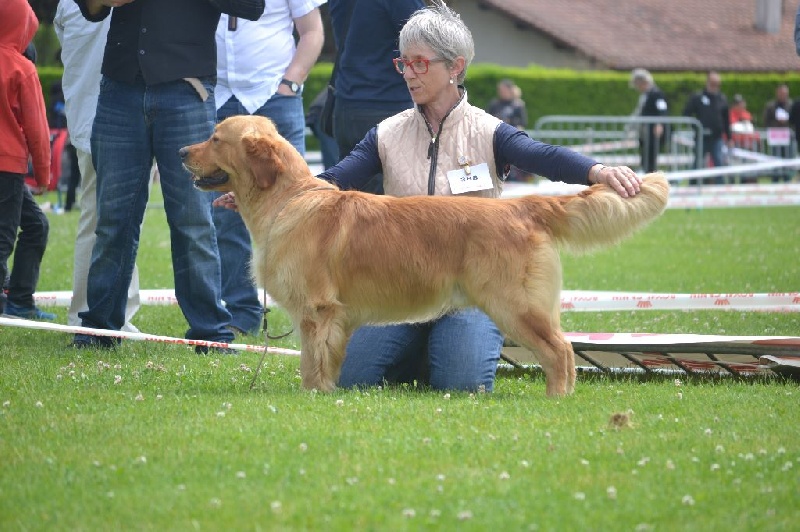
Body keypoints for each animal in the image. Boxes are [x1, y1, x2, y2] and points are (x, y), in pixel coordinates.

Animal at [180, 115, 669, 396]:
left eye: (215, 138)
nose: (183, 150)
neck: (288, 200)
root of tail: (521, 204)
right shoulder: (321, 316)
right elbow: (315, 362)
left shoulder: (319, 311)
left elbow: (314, 363)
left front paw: (314, 397)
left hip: (514, 305)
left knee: (561, 350)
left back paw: (557, 401)